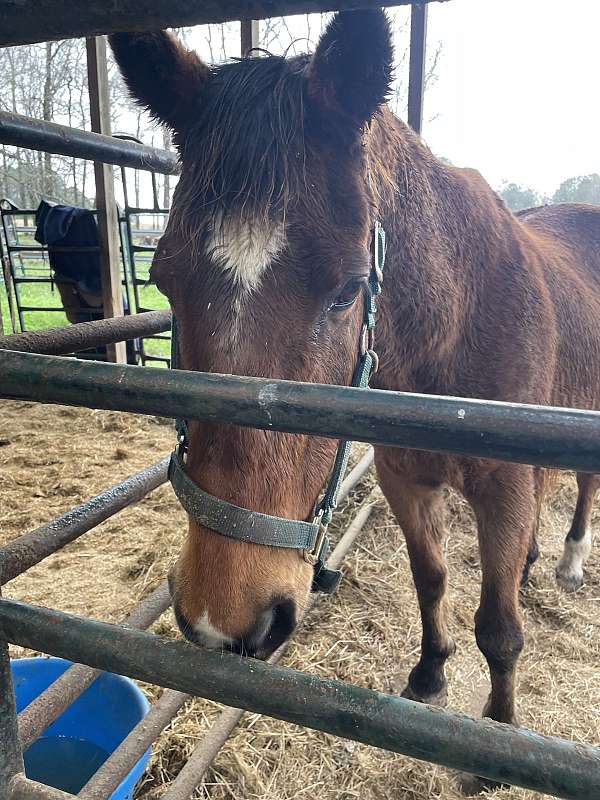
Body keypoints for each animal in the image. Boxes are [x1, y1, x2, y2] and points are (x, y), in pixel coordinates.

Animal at [109, 9, 600, 746]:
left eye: (347, 291)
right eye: (165, 280)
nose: (222, 618)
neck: (453, 328)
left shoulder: (505, 487)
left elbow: (501, 630)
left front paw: (497, 734)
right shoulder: (404, 475)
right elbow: (432, 578)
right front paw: (429, 676)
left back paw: (569, 558)